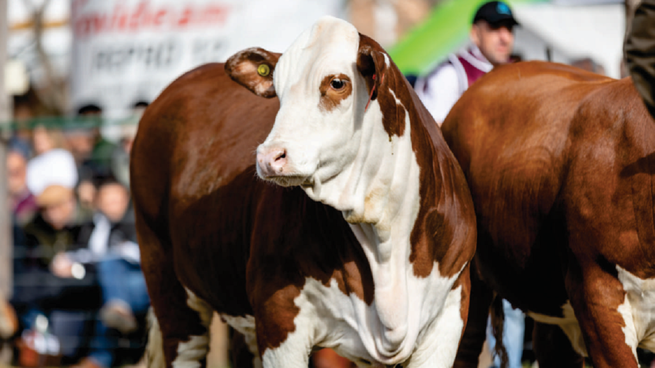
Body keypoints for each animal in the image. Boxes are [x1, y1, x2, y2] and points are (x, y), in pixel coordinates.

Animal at [131, 15, 476, 368]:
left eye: (337, 83)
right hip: (167, 282)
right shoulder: (279, 315)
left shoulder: (451, 311)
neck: (384, 231)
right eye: (278, 90)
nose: (269, 156)